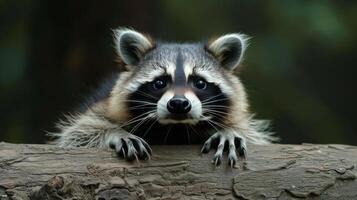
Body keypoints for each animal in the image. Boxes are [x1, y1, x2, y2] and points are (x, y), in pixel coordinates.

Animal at [50, 27, 276, 166]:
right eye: (160, 82)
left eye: (199, 83)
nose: (179, 104)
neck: (176, 129)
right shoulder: (102, 105)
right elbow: (77, 134)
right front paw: (113, 133)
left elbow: (251, 135)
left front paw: (228, 131)